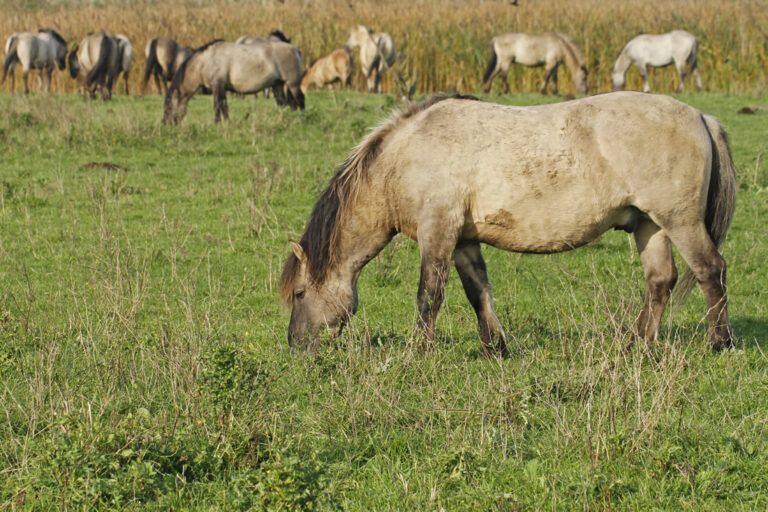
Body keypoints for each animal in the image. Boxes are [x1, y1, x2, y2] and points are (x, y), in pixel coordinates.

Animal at [163, 40, 305, 125]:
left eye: (169, 106)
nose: (165, 124)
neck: (205, 62)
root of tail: (295, 49)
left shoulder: (218, 86)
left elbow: (217, 107)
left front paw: (217, 124)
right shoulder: (221, 89)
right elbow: (224, 107)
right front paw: (226, 123)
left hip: (292, 84)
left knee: (299, 99)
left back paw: (302, 117)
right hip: (277, 85)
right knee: (284, 103)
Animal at [280, 92, 736, 356]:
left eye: (300, 294)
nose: (295, 345)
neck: (405, 158)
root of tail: (701, 116)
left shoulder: (437, 232)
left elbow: (429, 296)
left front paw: (419, 350)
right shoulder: (462, 240)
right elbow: (477, 291)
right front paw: (494, 347)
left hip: (679, 222)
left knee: (709, 270)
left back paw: (719, 343)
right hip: (648, 225)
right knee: (660, 281)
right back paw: (635, 344)